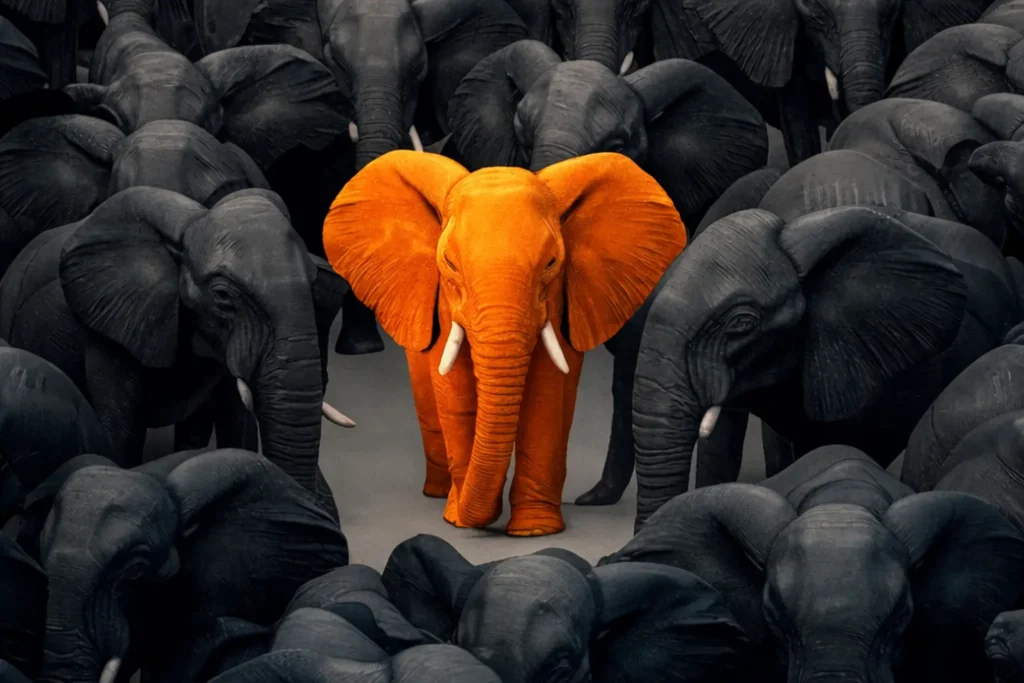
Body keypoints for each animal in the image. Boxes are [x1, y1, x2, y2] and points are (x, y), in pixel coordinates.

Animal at [323, 149, 687, 535]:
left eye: (551, 263)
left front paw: (534, 530)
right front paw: (458, 520)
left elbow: (547, 398)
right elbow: (456, 397)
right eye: (449, 263)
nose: (487, 518)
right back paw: (437, 493)